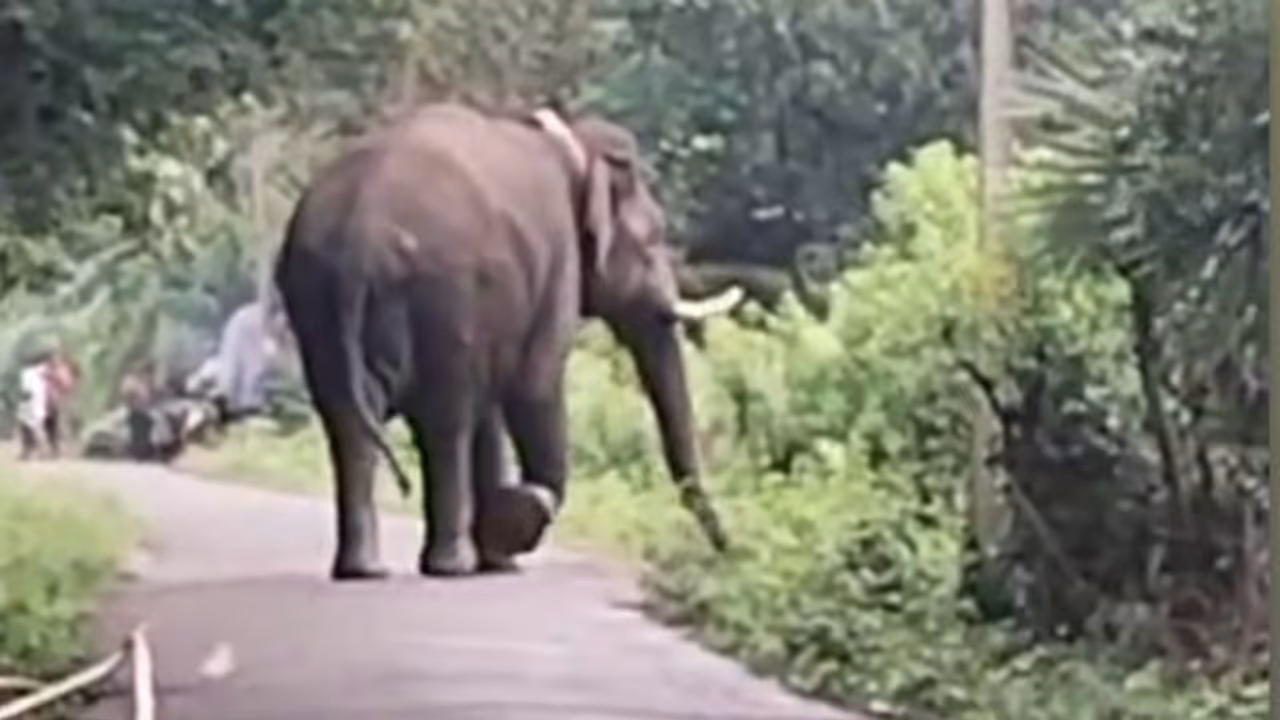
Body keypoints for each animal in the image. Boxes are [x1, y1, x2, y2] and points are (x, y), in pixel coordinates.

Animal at [273, 101, 743, 580]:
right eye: (654, 239)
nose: (728, 549)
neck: (572, 144)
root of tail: (359, 236)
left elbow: (493, 408)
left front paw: (499, 556)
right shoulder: (557, 261)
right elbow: (535, 385)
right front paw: (519, 516)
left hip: (318, 295)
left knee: (349, 422)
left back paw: (365, 570)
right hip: (445, 294)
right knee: (445, 419)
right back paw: (450, 566)